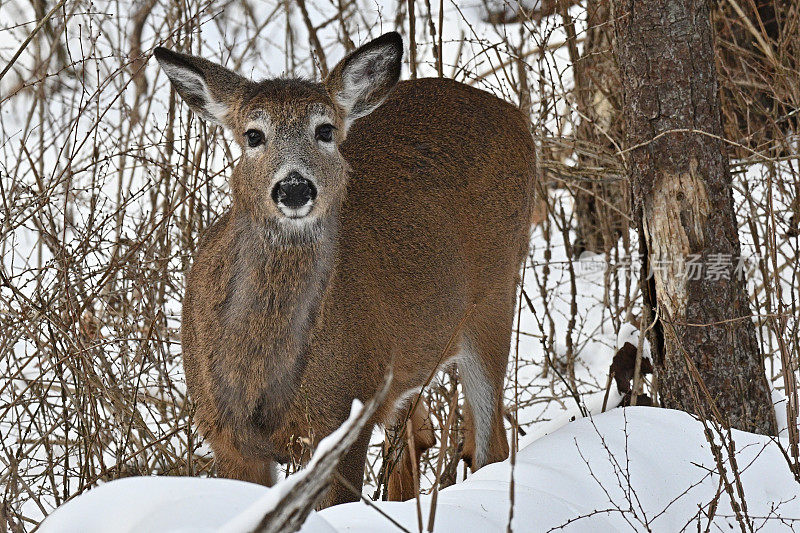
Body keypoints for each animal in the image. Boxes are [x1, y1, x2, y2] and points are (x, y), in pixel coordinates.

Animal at [153, 31, 536, 504]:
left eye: (325, 130)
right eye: (253, 135)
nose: (294, 188)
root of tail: (515, 114)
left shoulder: (345, 415)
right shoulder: (225, 435)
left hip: (496, 293)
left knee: (490, 444)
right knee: (417, 441)